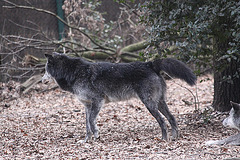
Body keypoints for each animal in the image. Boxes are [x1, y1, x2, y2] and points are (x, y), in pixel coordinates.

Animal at [42, 52, 197, 142]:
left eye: (45, 70)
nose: (42, 80)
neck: (73, 72)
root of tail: (149, 64)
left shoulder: (98, 101)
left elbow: (91, 122)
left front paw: (97, 135)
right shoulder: (87, 105)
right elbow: (86, 125)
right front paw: (87, 140)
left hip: (149, 104)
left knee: (162, 121)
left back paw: (163, 139)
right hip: (159, 103)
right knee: (172, 118)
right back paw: (174, 138)